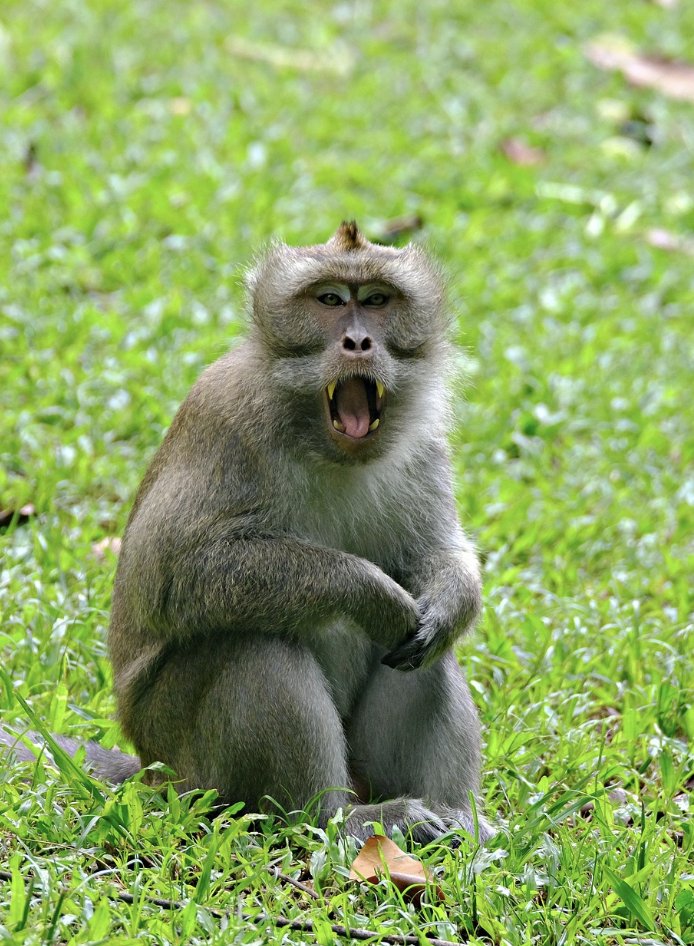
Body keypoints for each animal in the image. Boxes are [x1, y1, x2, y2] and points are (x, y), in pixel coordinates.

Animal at [1, 222, 492, 844]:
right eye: (330, 300)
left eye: (377, 301)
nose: (359, 342)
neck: (324, 443)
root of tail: (150, 770)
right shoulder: (227, 422)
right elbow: (177, 572)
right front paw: (370, 593)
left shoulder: (425, 449)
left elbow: (435, 557)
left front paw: (448, 603)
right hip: (191, 760)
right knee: (257, 645)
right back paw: (336, 820)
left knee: (426, 658)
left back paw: (454, 821)